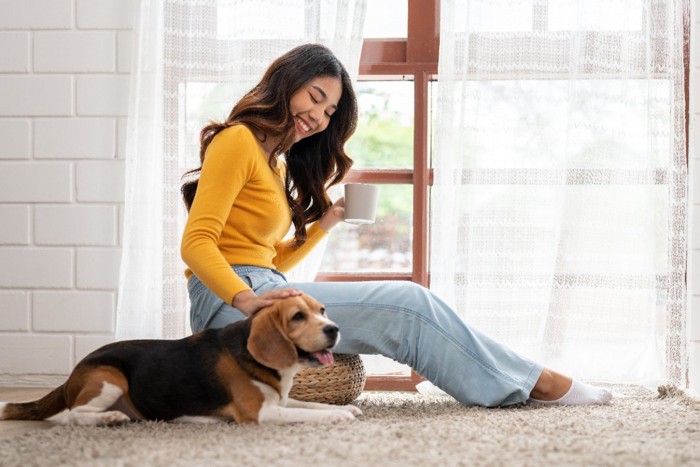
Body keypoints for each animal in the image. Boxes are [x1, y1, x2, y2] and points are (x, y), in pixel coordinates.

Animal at [0, 294, 360, 426]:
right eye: (298, 316)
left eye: (322, 310)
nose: (334, 329)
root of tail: (71, 376)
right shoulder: (260, 413)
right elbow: (306, 414)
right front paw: (337, 417)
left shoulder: (279, 401)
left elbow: (309, 404)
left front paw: (345, 408)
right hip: (109, 377)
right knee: (73, 415)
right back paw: (109, 419)